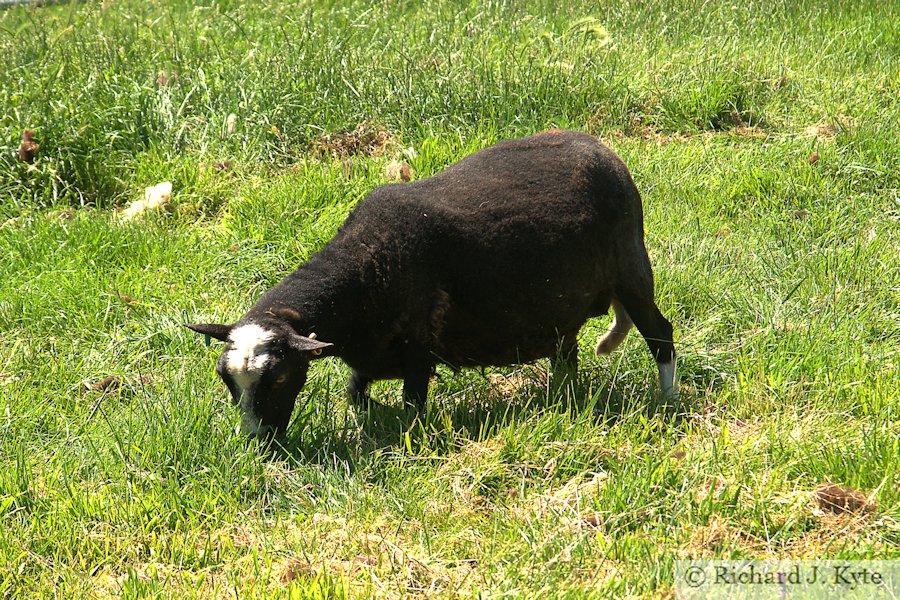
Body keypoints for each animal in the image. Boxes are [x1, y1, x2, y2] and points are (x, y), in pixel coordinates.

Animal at [188, 130, 676, 436]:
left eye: (280, 377)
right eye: (227, 381)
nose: (257, 443)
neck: (366, 264)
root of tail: (603, 150)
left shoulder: (418, 345)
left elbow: (412, 405)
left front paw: (409, 433)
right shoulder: (373, 354)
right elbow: (356, 396)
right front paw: (377, 418)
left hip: (631, 268)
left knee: (660, 334)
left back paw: (668, 400)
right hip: (562, 305)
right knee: (567, 355)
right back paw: (563, 401)